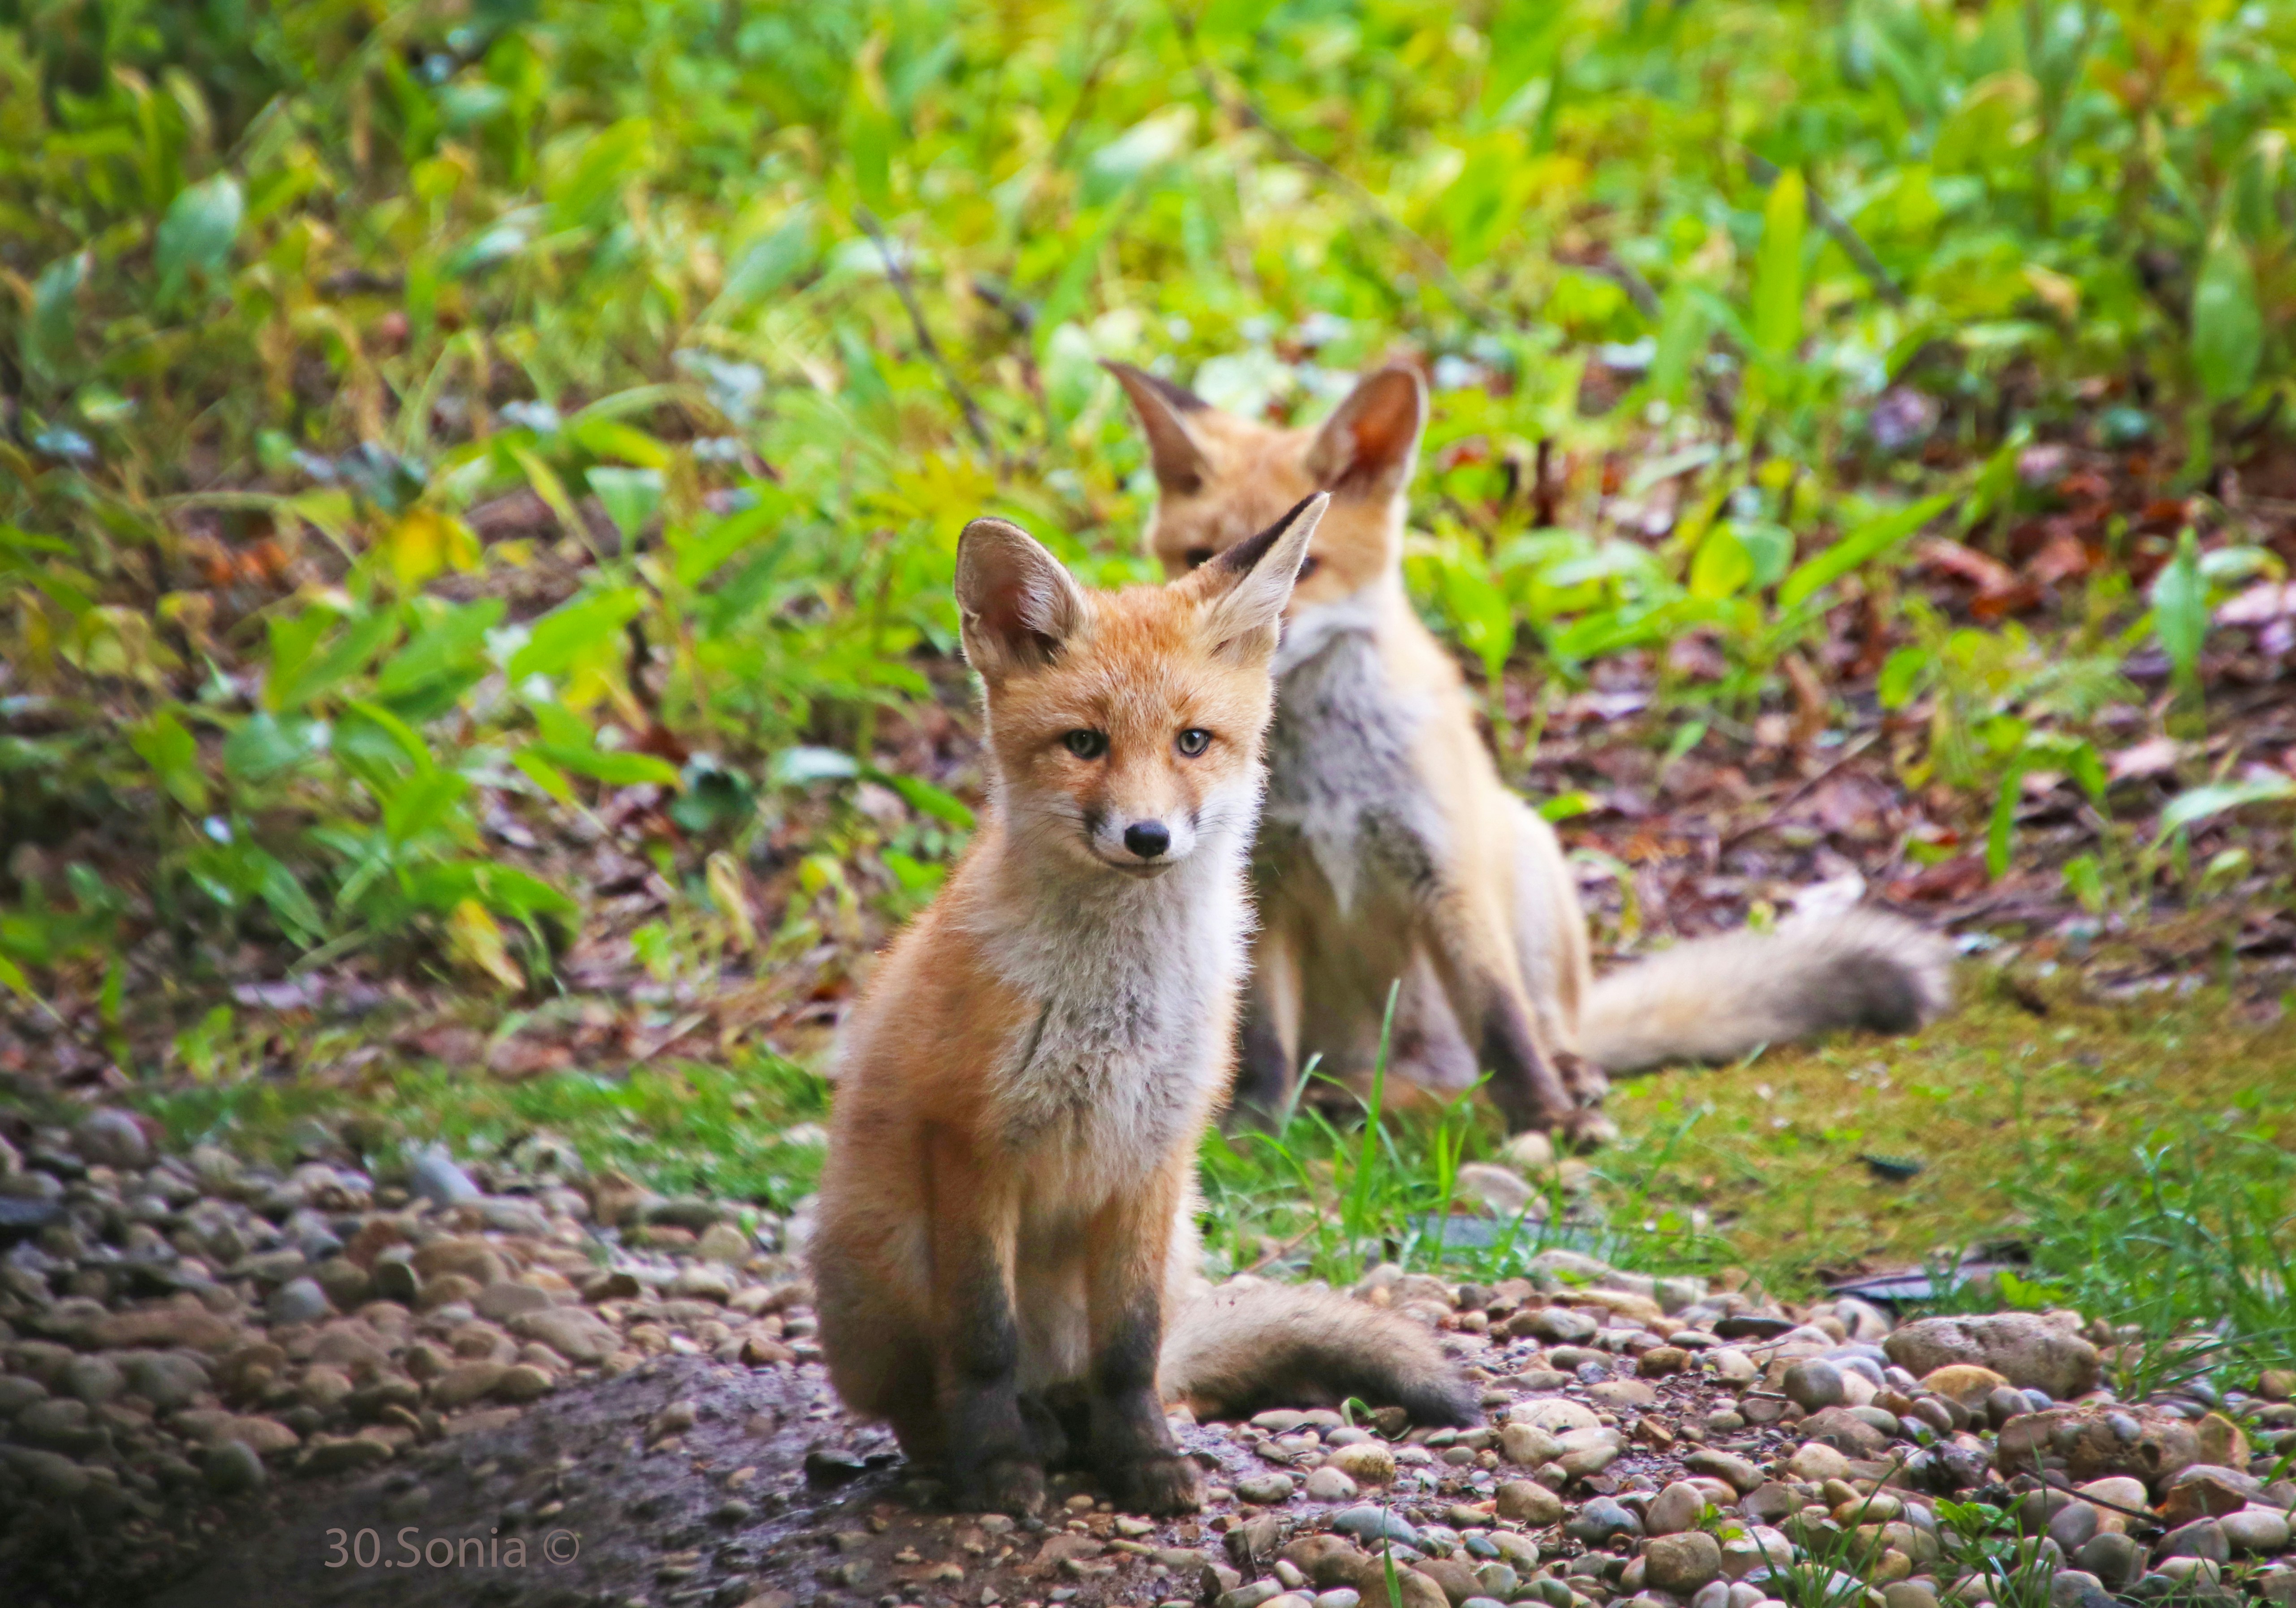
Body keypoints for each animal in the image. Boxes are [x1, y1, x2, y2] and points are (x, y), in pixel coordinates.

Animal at [809, 494, 1476, 1520]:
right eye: (1084, 743)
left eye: (1192, 741)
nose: (1149, 835)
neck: (1112, 1011)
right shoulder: (971, 1148)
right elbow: (982, 1342)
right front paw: (997, 1468)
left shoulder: (1154, 1157)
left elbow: (1130, 1348)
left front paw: (1144, 1459)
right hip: (880, 1261)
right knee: (928, 1399)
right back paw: (995, 1444)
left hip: (1174, 1243)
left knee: (1133, 1366)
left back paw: (1083, 1426)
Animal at [1107, 358, 1952, 1140]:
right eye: (1194, 557)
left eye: (1306, 568)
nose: (1235, 654)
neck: (1326, 781)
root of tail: (1407, 1074)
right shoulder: (1265, 885)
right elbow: (1264, 1043)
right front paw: (1253, 1131)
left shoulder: (1445, 868)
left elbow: (1503, 1022)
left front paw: (1546, 1116)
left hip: (1527, 850)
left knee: (1545, 1028)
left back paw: (1565, 1077)